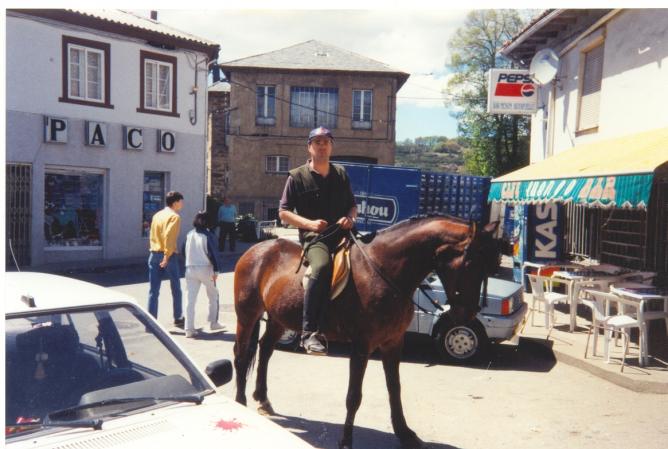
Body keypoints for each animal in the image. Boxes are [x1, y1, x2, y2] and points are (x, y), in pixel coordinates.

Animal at [233, 215, 502, 449]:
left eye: (490, 266)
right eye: (470, 263)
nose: (467, 314)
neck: (384, 271)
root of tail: (256, 250)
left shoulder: (393, 342)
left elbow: (395, 388)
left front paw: (405, 433)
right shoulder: (362, 345)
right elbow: (354, 395)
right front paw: (346, 441)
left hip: (278, 319)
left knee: (265, 349)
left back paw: (263, 399)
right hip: (247, 315)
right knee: (241, 355)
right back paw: (240, 402)